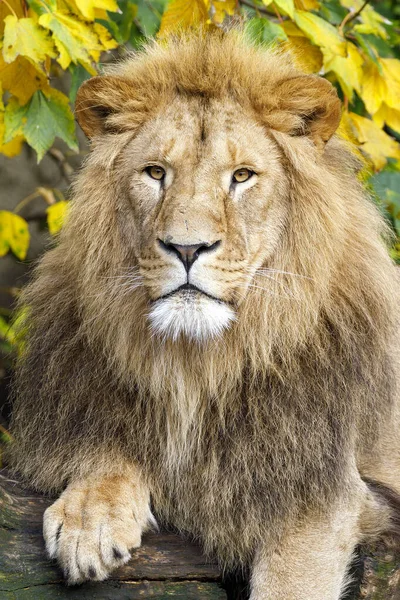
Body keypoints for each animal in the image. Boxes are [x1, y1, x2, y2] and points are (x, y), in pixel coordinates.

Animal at [7, 32, 400, 600]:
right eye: (155, 173)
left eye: (242, 176)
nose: (187, 248)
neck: (198, 364)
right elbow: (109, 446)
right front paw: (89, 519)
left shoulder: (324, 495)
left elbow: (289, 584)